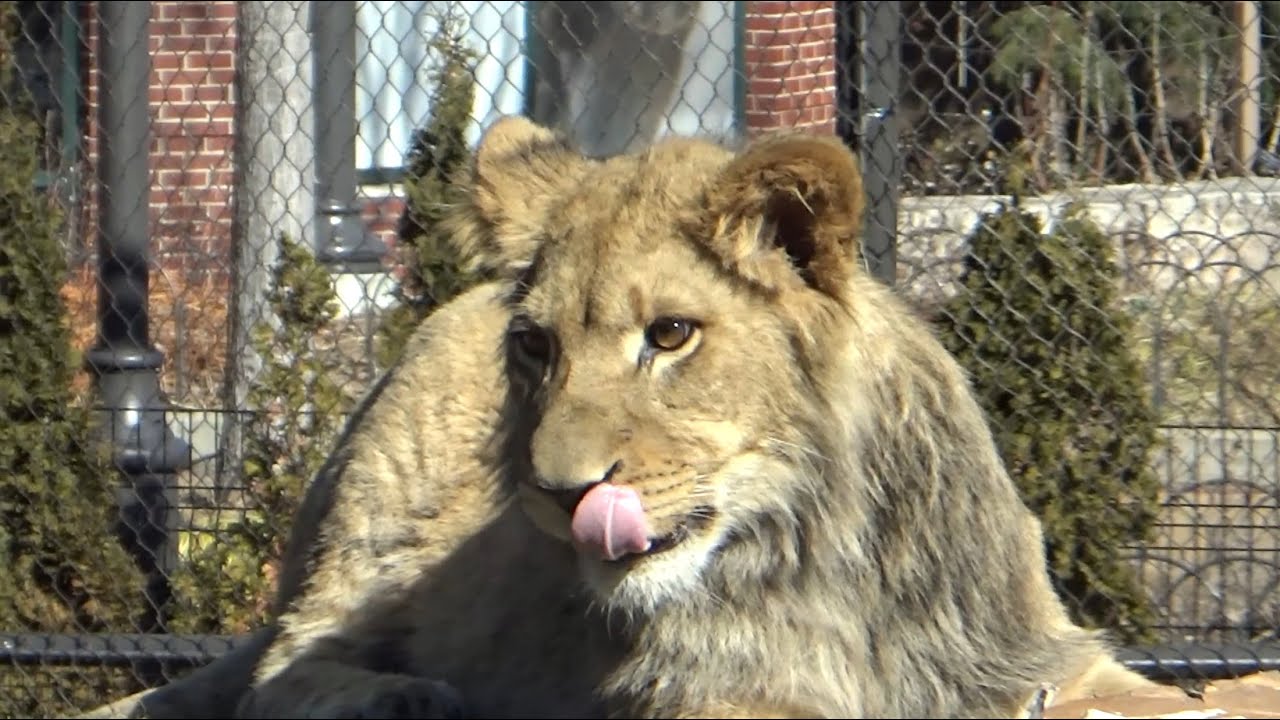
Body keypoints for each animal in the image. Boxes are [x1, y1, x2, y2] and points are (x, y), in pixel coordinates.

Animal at [86, 116, 1161, 719]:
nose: (559, 494)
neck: (825, 552)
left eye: (671, 335)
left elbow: (1144, 694)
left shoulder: (1025, 652)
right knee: (282, 669)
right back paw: (404, 697)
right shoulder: (705, 692)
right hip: (376, 500)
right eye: (536, 347)